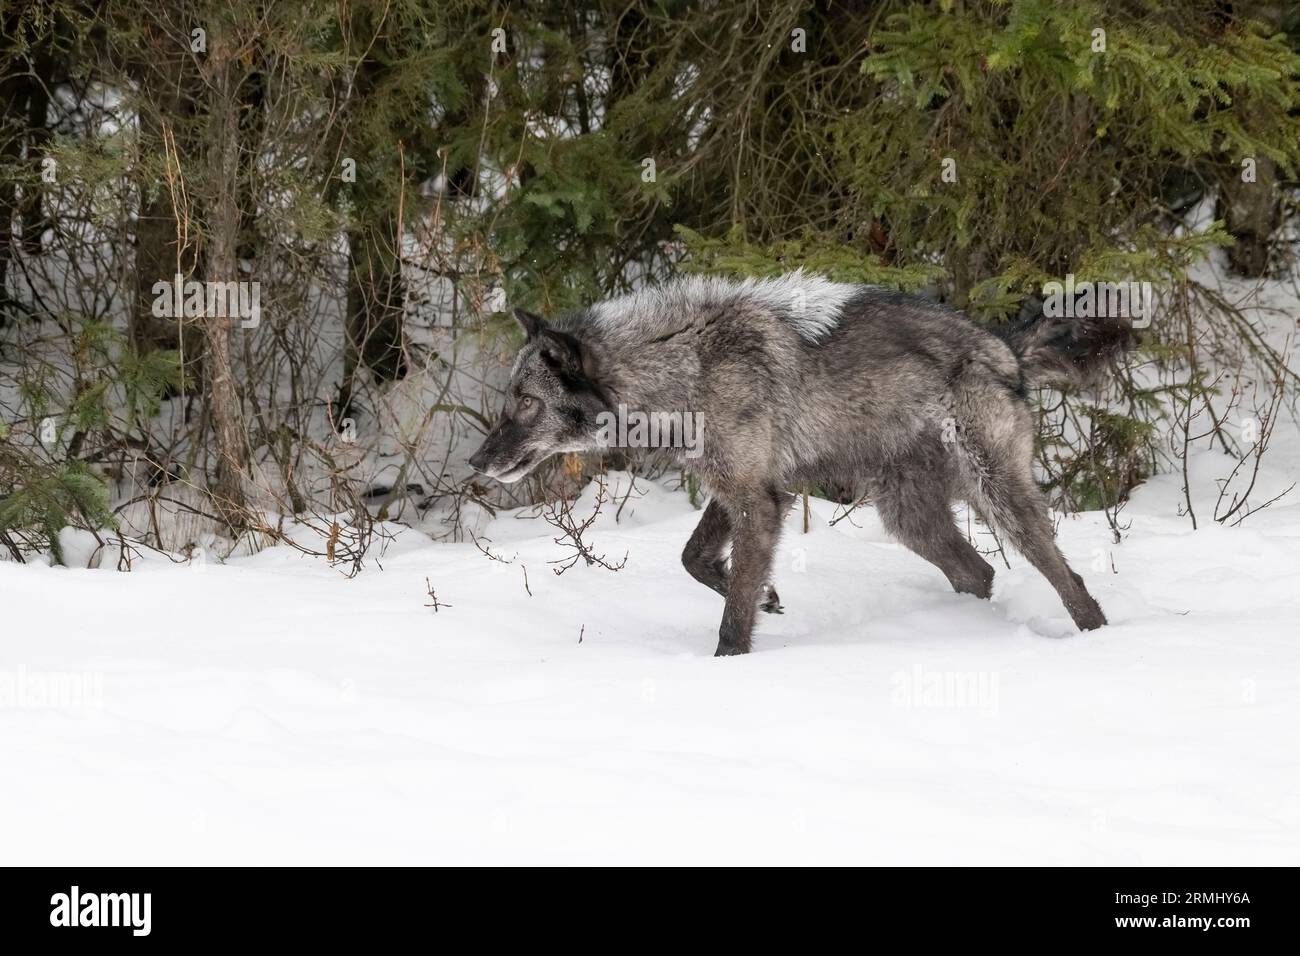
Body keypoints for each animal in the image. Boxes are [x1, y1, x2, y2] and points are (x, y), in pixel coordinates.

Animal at [468, 272, 1130, 656]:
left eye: (525, 402)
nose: (476, 462)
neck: (681, 366)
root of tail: (1005, 348)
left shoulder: (758, 500)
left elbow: (730, 617)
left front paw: (730, 659)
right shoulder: (749, 492)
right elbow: (693, 559)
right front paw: (767, 597)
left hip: (997, 498)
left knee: (1067, 580)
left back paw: (1096, 644)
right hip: (909, 518)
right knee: (979, 573)